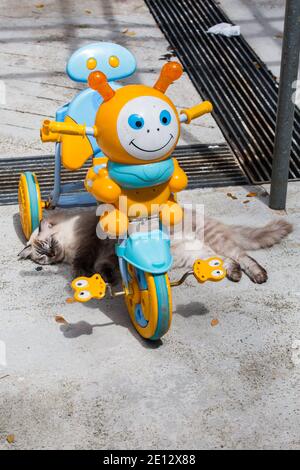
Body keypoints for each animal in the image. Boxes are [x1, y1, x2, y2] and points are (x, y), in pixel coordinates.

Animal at [17, 208, 292, 284]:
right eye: (41, 257)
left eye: (48, 244)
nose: (51, 253)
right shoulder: (106, 256)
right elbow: (105, 267)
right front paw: (109, 279)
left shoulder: (91, 244)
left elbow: (83, 263)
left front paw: (82, 274)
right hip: (197, 255)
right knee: (225, 261)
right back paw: (234, 275)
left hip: (215, 240)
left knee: (243, 257)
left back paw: (258, 276)